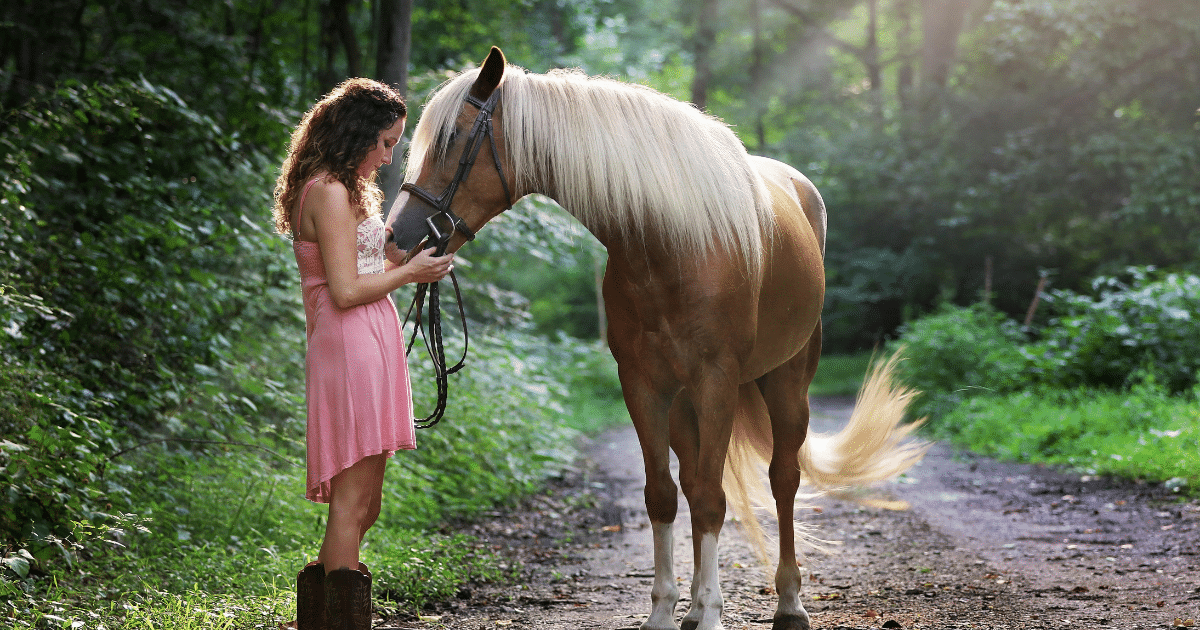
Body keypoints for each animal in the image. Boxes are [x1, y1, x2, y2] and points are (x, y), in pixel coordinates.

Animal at [387, 47, 927, 630]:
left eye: (452, 140)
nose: (397, 238)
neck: (670, 244)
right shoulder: (644, 385)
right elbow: (663, 496)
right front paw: (668, 612)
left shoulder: (716, 382)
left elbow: (713, 499)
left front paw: (712, 613)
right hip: (685, 402)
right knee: (692, 482)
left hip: (786, 384)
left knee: (783, 479)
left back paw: (789, 603)